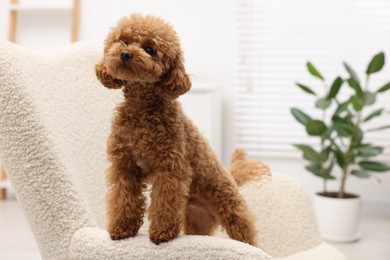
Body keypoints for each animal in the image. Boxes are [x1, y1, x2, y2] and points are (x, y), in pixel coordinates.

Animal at [96, 13, 258, 246]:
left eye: (149, 49)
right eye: (123, 41)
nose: (125, 54)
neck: (141, 110)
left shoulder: (170, 166)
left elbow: (165, 202)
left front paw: (162, 233)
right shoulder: (124, 166)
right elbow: (124, 198)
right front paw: (122, 229)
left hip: (231, 208)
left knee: (246, 233)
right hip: (197, 218)